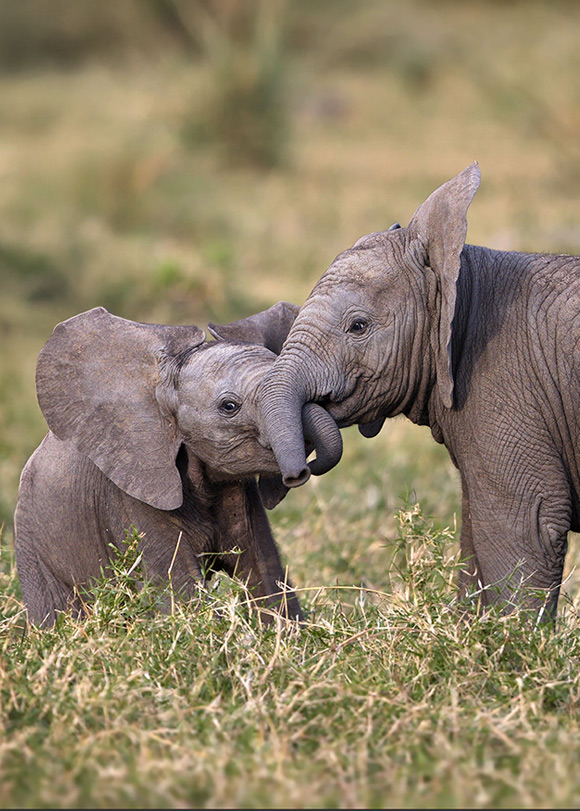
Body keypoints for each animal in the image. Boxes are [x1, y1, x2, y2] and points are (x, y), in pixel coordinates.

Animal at [14, 304, 342, 627]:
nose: (299, 473)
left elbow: (266, 572)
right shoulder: (132, 492)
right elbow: (180, 590)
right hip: (33, 546)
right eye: (229, 406)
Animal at [259, 162, 580, 620]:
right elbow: (476, 533)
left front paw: (515, 640)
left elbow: (528, 525)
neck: (457, 275)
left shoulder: (508, 383)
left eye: (358, 326)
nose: (298, 474)